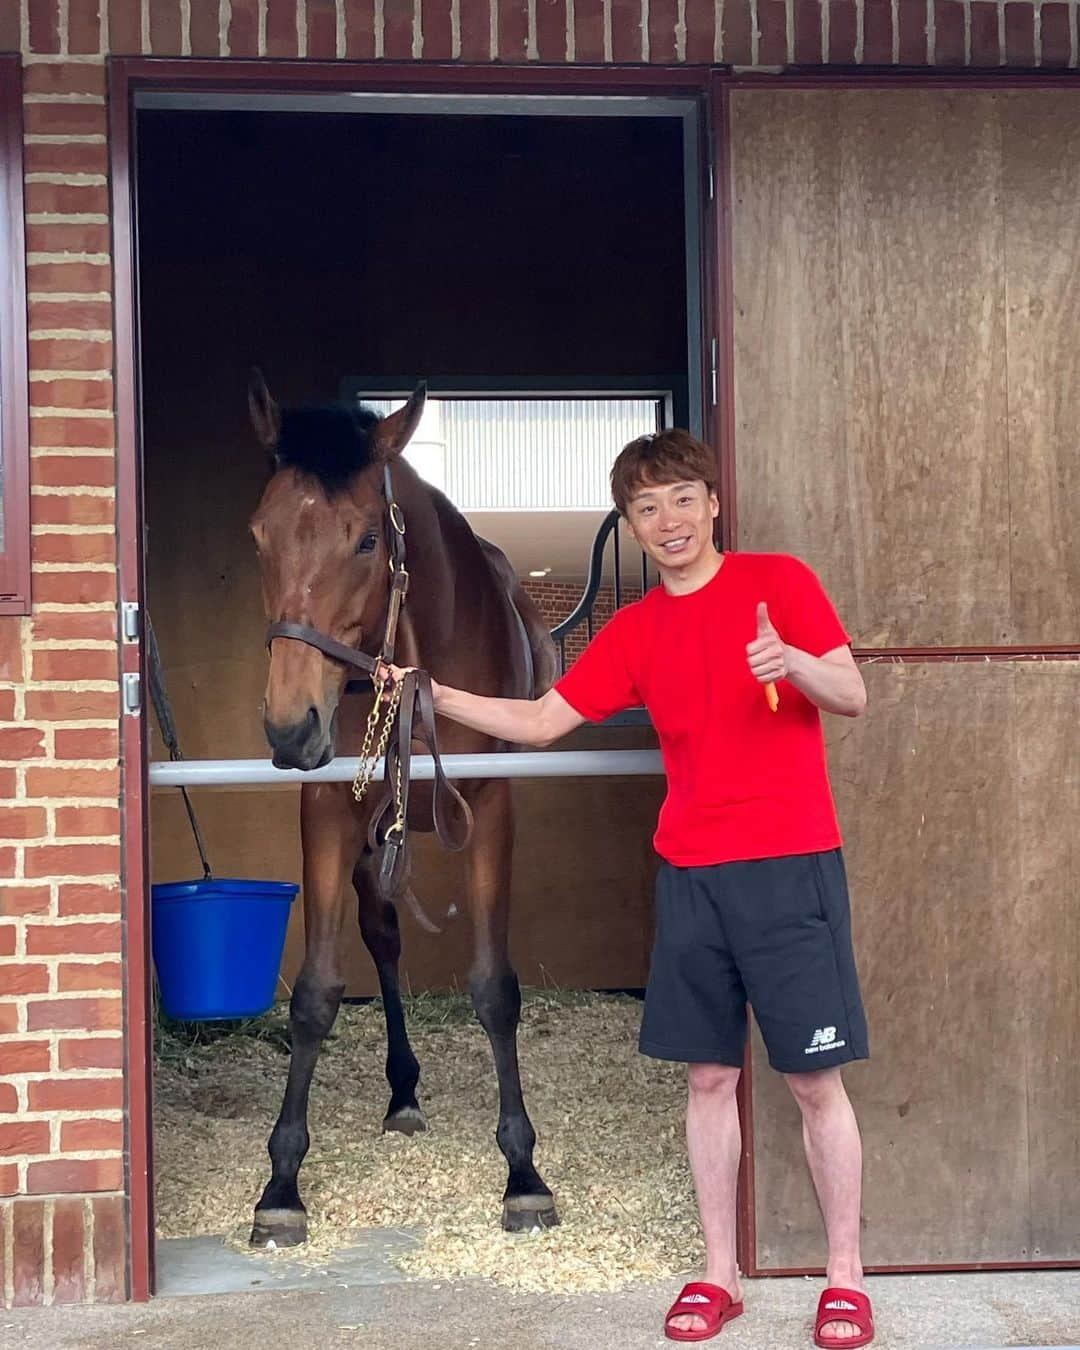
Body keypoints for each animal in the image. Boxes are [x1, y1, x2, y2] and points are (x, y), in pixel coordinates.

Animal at [245, 375, 561, 1247]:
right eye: (259, 535)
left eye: (364, 542)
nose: (291, 729)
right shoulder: (329, 810)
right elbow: (316, 993)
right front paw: (281, 1184)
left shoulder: (489, 809)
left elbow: (494, 988)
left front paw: (524, 1174)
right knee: (383, 938)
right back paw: (404, 1091)